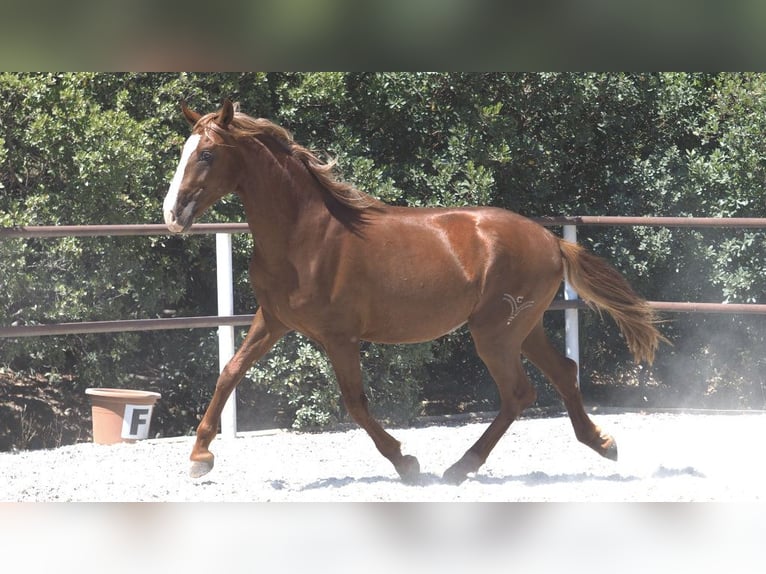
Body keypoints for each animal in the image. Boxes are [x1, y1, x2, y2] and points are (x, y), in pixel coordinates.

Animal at [165, 100, 664, 486]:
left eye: (206, 154)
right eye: (186, 151)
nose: (172, 213)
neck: (304, 236)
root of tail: (552, 240)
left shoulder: (339, 337)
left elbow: (355, 403)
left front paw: (406, 462)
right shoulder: (273, 320)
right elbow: (228, 372)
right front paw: (200, 457)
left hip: (496, 332)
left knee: (519, 393)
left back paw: (460, 467)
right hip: (523, 327)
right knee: (562, 372)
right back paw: (602, 443)